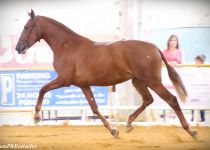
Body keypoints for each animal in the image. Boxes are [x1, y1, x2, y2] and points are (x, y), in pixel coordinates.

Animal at [16, 9, 197, 139]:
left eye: (26, 27)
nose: (18, 48)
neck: (67, 46)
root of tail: (154, 48)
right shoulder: (83, 85)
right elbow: (94, 108)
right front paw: (113, 131)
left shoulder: (64, 80)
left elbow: (42, 89)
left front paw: (36, 117)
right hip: (138, 82)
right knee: (148, 100)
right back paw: (129, 124)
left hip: (153, 82)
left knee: (171, 100)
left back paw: (191, 131)